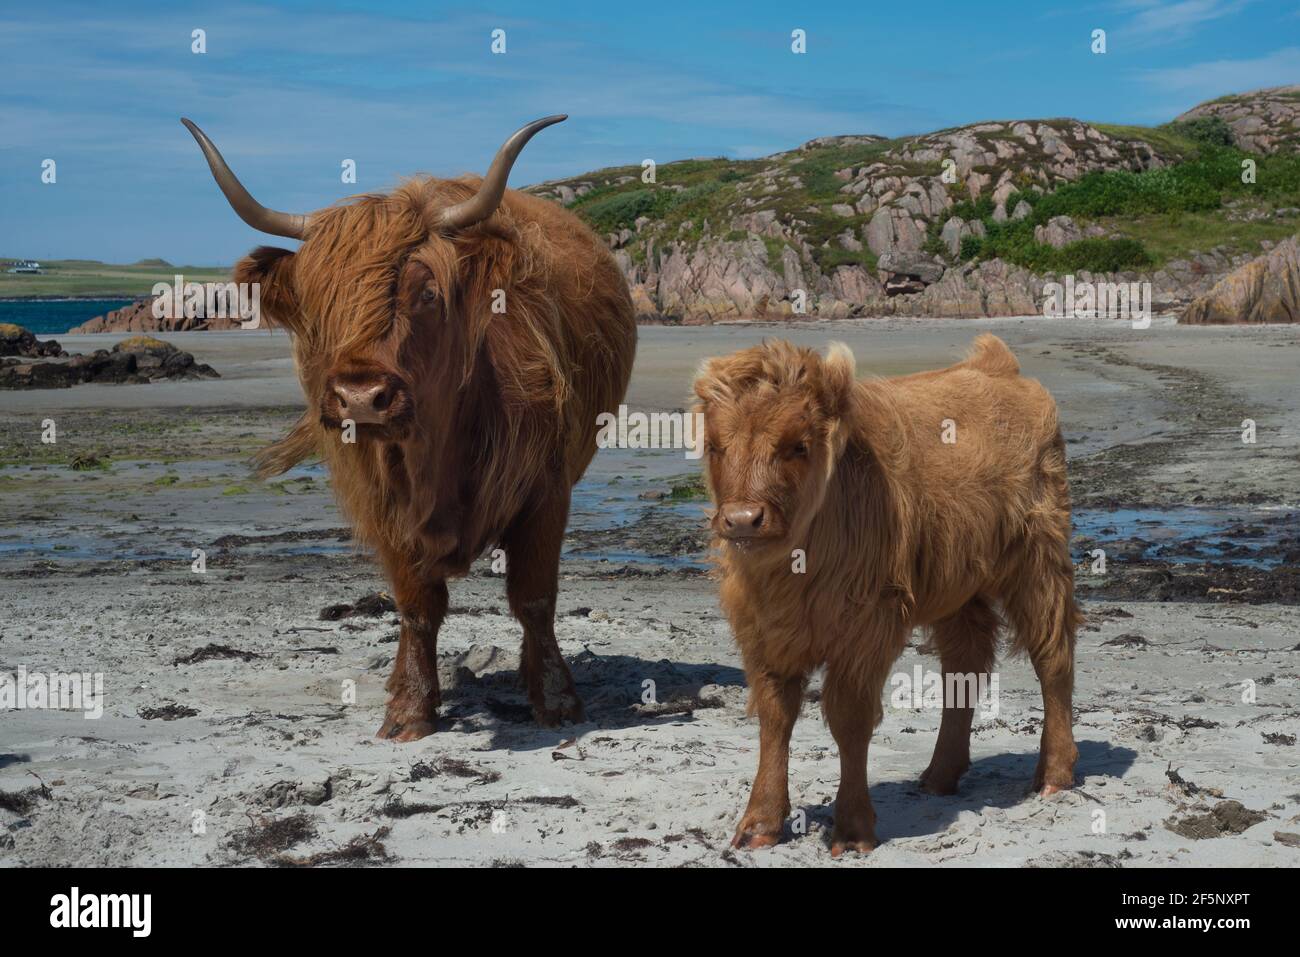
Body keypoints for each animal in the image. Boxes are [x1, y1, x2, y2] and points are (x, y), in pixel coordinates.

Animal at [187, 113, 639, 738]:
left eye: (425, 293)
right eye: (317, 302)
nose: (360, 397)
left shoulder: (546, 492)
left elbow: (534, 599)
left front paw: (557, 701)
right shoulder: (381, 506)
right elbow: (416, 606)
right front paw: (409, 708)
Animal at [696, 335, 1081, 852]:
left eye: (798, 445)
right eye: (715, 446)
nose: (741, 519)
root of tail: (995, 366)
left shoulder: (865, 629)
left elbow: (849, 719)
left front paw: (853, 828)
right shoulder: (763, 632)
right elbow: (775, 716)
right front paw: (761, 823)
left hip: (1037, 559)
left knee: (1052, 654)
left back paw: (1055, 773)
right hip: (960, 586)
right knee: (965, 662)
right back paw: (940, 775)